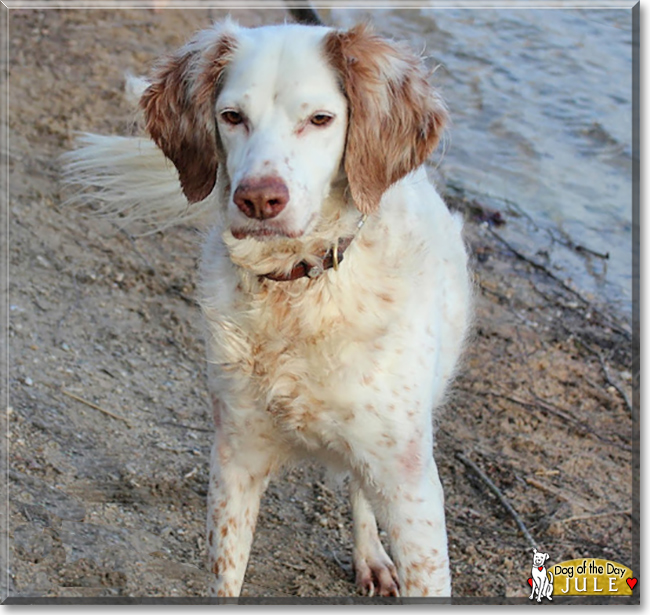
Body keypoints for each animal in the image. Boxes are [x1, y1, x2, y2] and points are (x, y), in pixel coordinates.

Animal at [62, 18, 470, 596]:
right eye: (232, 117)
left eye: (320, 119)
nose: (258, 199)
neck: (301, 288)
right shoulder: (236, 459)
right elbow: (226, 577)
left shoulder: (409, 481)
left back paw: (370, 556)